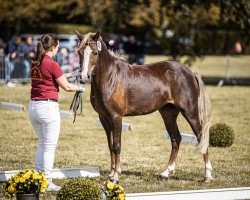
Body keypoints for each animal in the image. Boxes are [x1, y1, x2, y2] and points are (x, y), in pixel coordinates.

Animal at [75, 30, 213, 184]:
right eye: (79, 52)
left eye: (94, 52)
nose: (83, 77)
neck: (110, 77)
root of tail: (190, 73)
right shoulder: (104, 118)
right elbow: (110, 145)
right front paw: (111, 174)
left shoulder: (116, 117)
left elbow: (117, 145)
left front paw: (116, 176)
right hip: (168, 113)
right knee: (176, 138)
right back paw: (165, 173)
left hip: (190, 113)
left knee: (202, 138)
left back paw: (207, 176)